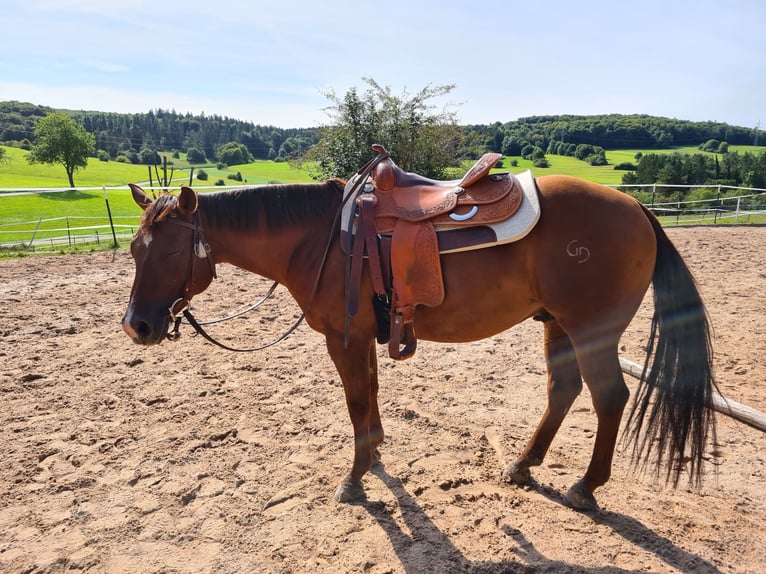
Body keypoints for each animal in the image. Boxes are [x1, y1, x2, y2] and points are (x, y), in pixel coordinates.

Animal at [121, 173, 716, 511]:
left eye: (171, 251)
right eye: (132, 248)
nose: (136, 326)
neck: (320, 239)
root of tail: (638, 208)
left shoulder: (343, 339)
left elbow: (355, 401)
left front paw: (354, 480)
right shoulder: (363, 336)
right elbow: (370, 397)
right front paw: (375, 454)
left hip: (593, 329)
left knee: (609, 397)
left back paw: (586, 487)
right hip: (557, 324)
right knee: (563, 390)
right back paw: (523, 465)